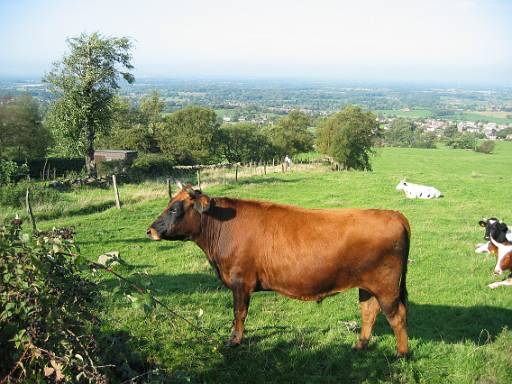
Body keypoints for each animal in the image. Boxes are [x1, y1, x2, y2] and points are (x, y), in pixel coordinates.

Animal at [148, 184, 412, 356]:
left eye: (175, 208)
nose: (149, 230)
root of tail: (394, 214)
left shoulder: (240, 282)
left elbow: (239, 313)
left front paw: (234, 341)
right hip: (368, 286)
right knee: (369, 312)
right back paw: (360, 345)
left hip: (386, 286)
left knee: (397, 315)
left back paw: (402, 353)